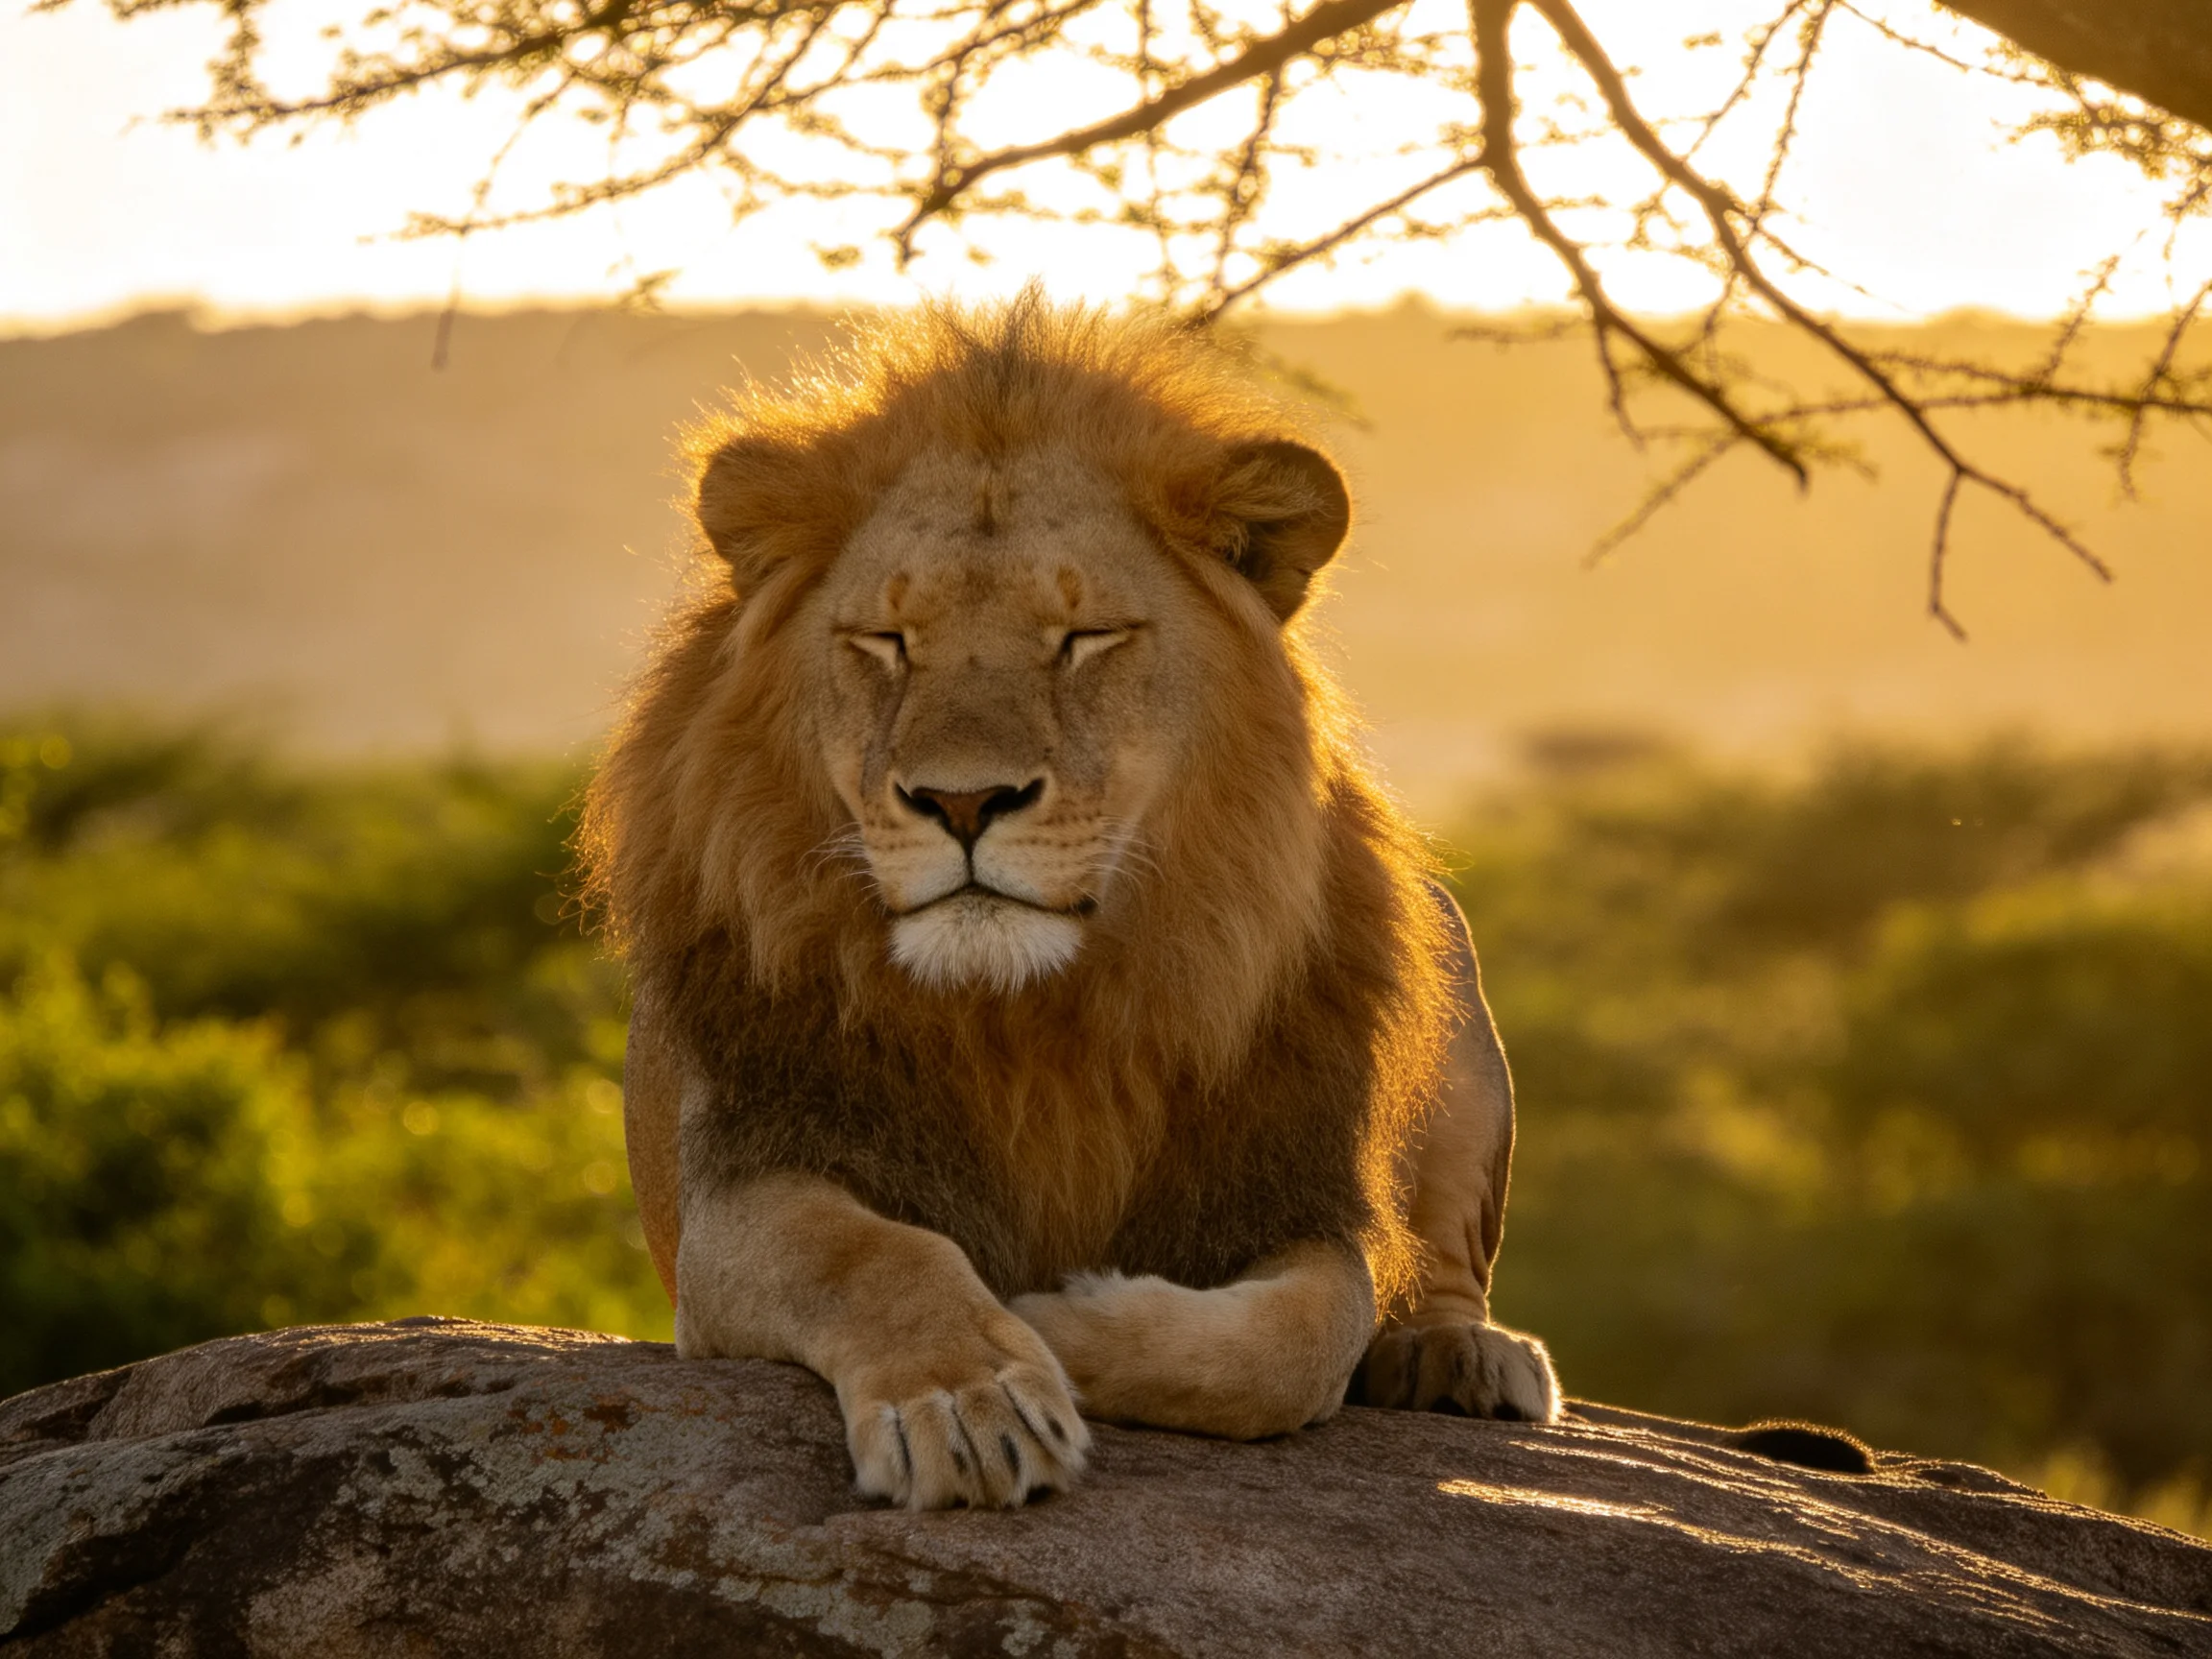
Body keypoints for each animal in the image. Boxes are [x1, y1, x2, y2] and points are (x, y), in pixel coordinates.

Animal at [584, 294, 1560, 1510]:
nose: (962, 800)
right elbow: (875, 1255)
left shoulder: (1292, 1191)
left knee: (1444, 1265)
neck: (1032, 1020)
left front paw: (1057, 1320)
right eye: (886, 641)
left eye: (1085, 638)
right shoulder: (739, 1187)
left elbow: (1293, 1344)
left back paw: (1457, 1353)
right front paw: (970, 1401)